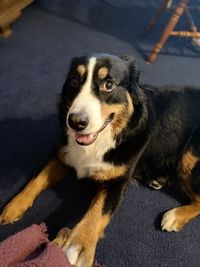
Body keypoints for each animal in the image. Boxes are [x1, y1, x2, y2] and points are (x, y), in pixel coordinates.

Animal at [0, 53, 200, 266]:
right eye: (74, 81)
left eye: (108, 85)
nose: (76, 122)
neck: (100, 140)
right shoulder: (63, 154)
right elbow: (36, 179)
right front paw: (14, 206)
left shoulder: (117, 183)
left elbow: (96, 213)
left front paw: (77, 247)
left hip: (190, 158)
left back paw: (174, 216)